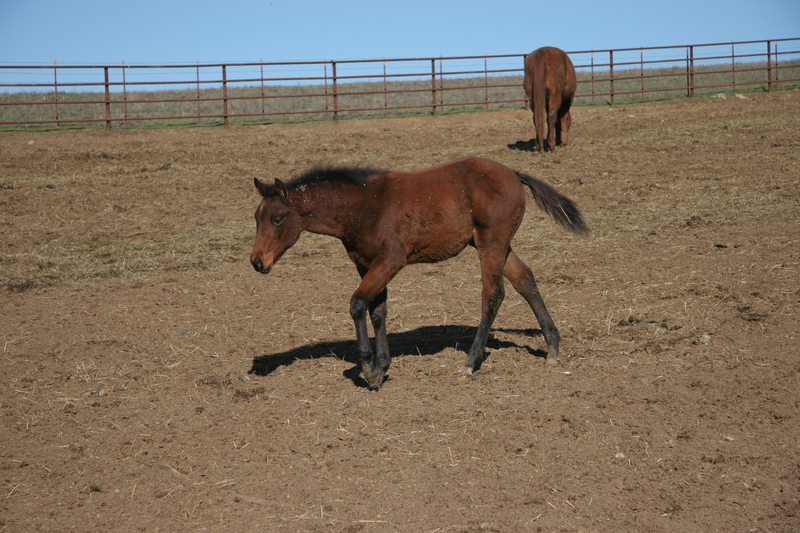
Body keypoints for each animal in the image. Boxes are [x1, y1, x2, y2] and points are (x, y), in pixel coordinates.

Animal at [250, 157, 588, 390]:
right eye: (256, 217)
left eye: (278, 218)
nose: (257, 262)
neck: (363, 207)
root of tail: (513, 174)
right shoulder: (365, 263)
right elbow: (377, 311)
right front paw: (382, 365)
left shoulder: (390, 260)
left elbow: (358, 304)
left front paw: (369, 370)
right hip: (496, 244)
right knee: (524, 280)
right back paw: (552, 347)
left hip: (491, 243)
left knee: (493, 294)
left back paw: (470, 362)